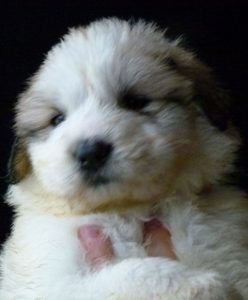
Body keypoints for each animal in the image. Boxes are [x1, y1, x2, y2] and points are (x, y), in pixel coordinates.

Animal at [0, 18, 248, 300]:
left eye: (135, 102)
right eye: (57, 119)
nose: (90, 153)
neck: (126, 209)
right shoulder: (52, 280)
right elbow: (132, 272)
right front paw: (205, 283)